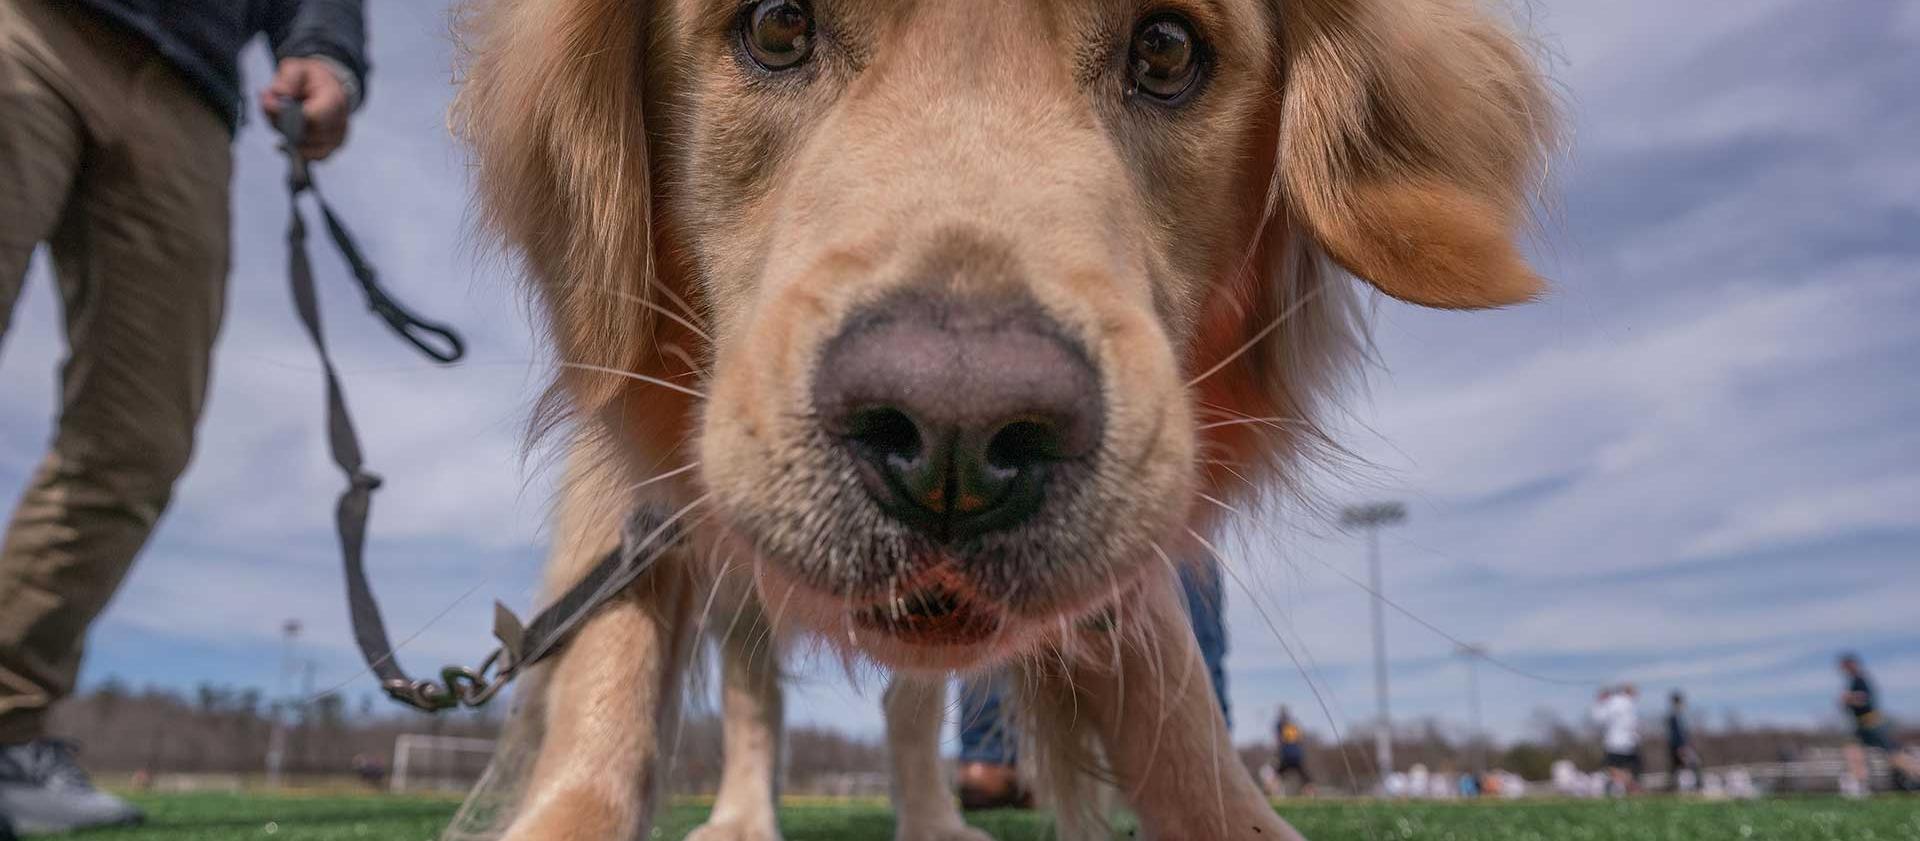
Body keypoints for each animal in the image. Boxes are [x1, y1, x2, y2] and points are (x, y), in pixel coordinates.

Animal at [453, 0, 1559, 837]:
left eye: (1168, 48)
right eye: (776, 25)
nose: (956, 440)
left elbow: (1177, 713)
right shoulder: (629, 494)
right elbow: (611, 675)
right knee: (754, 693)